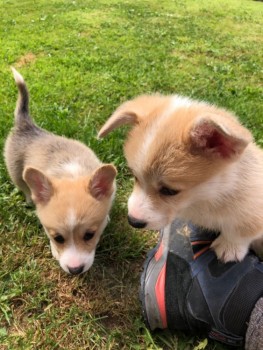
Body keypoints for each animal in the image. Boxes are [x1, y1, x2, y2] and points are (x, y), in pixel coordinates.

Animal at [3, 68, 117, 274]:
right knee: (24, 187)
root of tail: (26, 124)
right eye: (58, 238)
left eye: (90, 235)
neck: (71, 175)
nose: (75, 270)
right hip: (16, 173)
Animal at [99, 94, 263, 262]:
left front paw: (229, 249)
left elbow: (240, 232)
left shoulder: (253, 213)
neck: (210, 195)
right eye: (135, 177)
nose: (133, 221)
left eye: (169, 191)